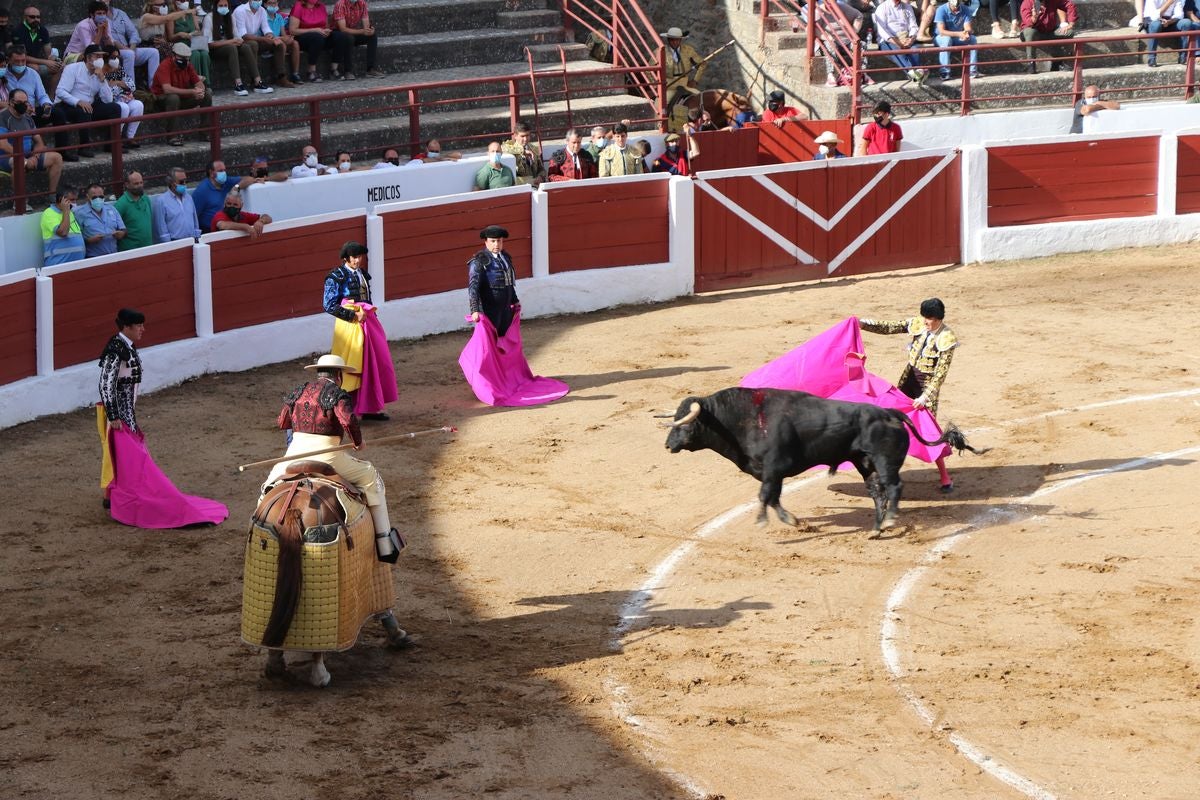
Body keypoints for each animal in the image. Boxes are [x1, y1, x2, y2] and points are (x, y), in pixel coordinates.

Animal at [662, 386, 988, 534]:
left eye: (685, 424)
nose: (667, 445)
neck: (743, 419)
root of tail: (890, 413)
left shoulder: (773, 468)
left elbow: (765, 496)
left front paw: (766, 520)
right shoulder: (773, 473)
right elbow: (773, 497)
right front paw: (794, 521)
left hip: (884, 461)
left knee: (894, 487)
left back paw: (889, 520)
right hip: (863, 463)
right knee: (877, 492)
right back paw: (876, 528)